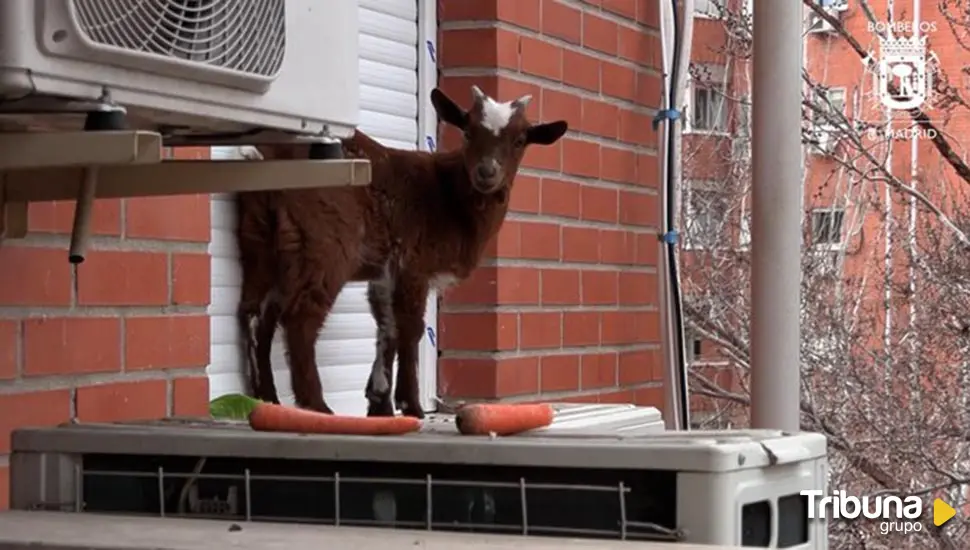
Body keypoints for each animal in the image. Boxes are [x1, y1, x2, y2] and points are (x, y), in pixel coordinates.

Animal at [235, 86, 568, 420]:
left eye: (520, 140)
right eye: (468, 131)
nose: (486, 172)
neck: (450, 196)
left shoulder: (386, 271)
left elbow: (387, 326)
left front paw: (379, 402)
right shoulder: (413, 263)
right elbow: (410, 327)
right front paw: (410, 405)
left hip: (261, 238)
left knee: (254, 311)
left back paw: (266, 398)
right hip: (326, 243)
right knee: (300, 316)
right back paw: (316, 405)